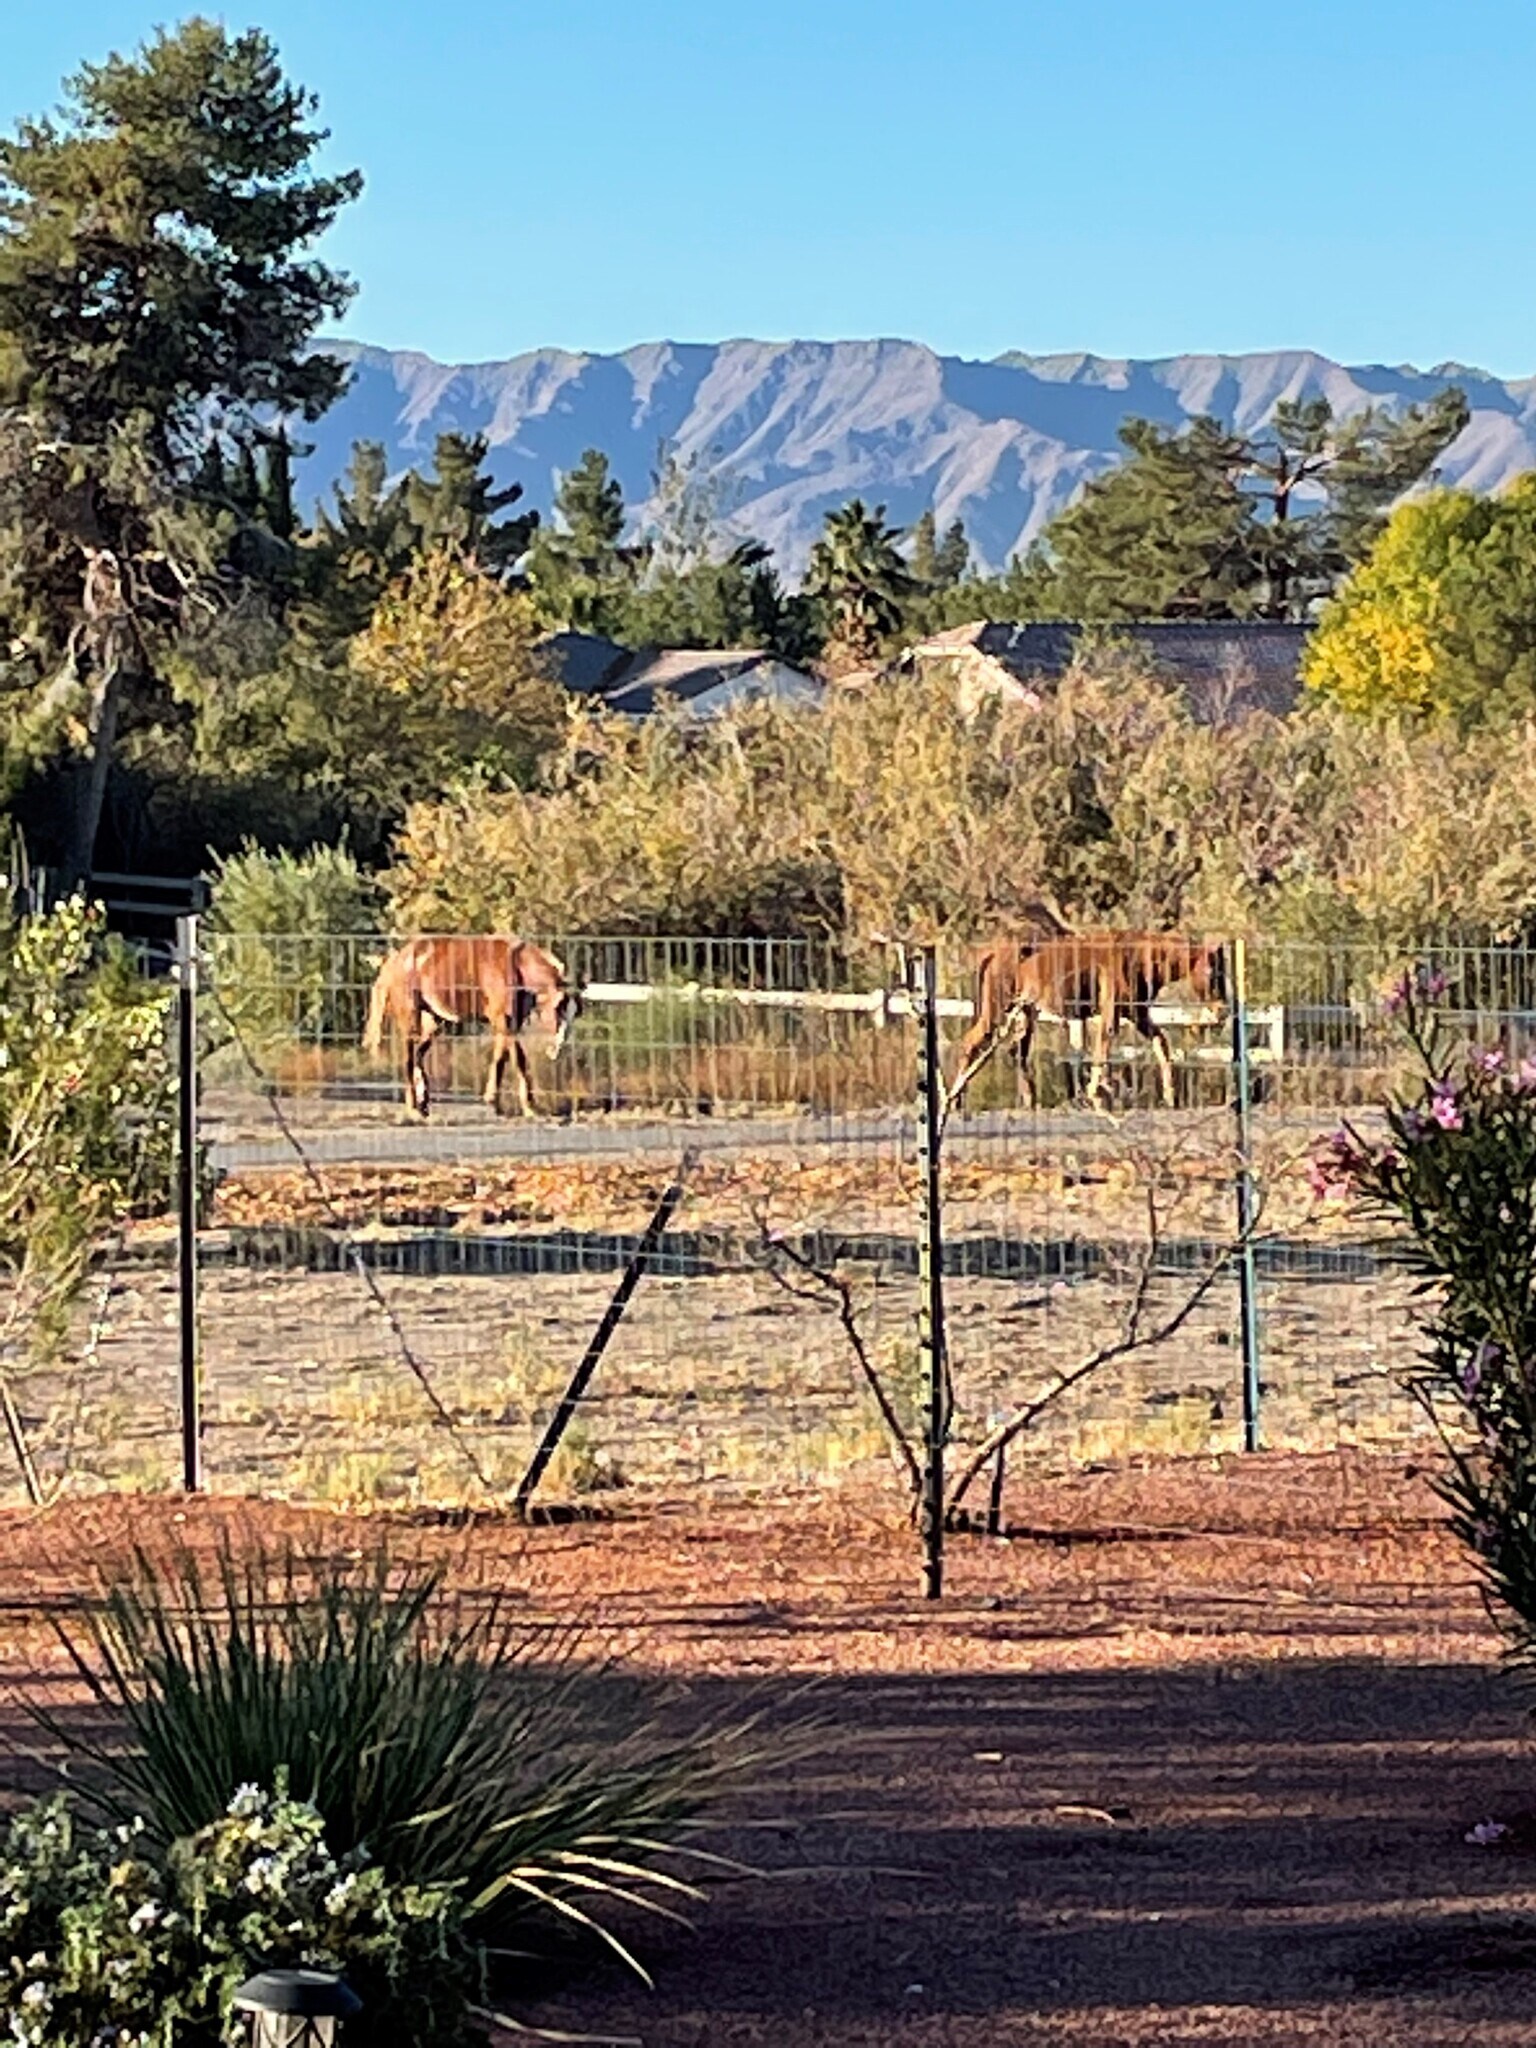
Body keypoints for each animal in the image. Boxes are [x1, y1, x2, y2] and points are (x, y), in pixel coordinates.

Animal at [363, 936, 581, 1120]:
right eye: (560, 1009)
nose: (555, 1050)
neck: (515, 966)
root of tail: (396, 961)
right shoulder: (502, 1020)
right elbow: (516, 1058)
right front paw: (525, 1106)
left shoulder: (508, 1024)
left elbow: (502, 1058)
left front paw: (498, 1102)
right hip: (410, 1021)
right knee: (408, 1059)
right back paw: (413, 1109)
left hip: (434, 1021)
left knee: (418, 1056)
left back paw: (423, 1104)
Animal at [953, 932, 1227, 1110]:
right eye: (1213, 973)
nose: (1221, 1010)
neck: (1137, 956)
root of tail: (992, 953)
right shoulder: (1111, 1013)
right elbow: (1102, 1048)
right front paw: (1095, 1094)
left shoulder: (1136, 1015)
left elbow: (1161, 1044)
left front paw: (1171, 1096)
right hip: (997, 1012)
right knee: (970, 1043)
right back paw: (955, 1099)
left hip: (1023, 1014)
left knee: (1017, 1052)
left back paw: (1029, 1100)